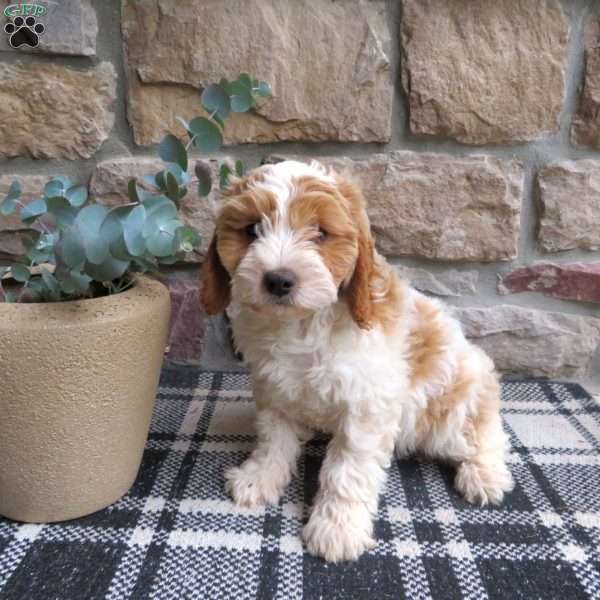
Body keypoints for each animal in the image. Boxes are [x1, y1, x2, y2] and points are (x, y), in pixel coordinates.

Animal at [200, 159, 510, 564]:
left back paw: (485, 474)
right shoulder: (274, 391)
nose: (279, 280)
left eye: (320, 233)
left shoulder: (366, 407)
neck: (302, 324)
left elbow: (346, 470)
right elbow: (273, 440)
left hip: (451, 409)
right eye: (252, 230)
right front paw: (259, 478)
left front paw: (336, 528)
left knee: (486, 432)